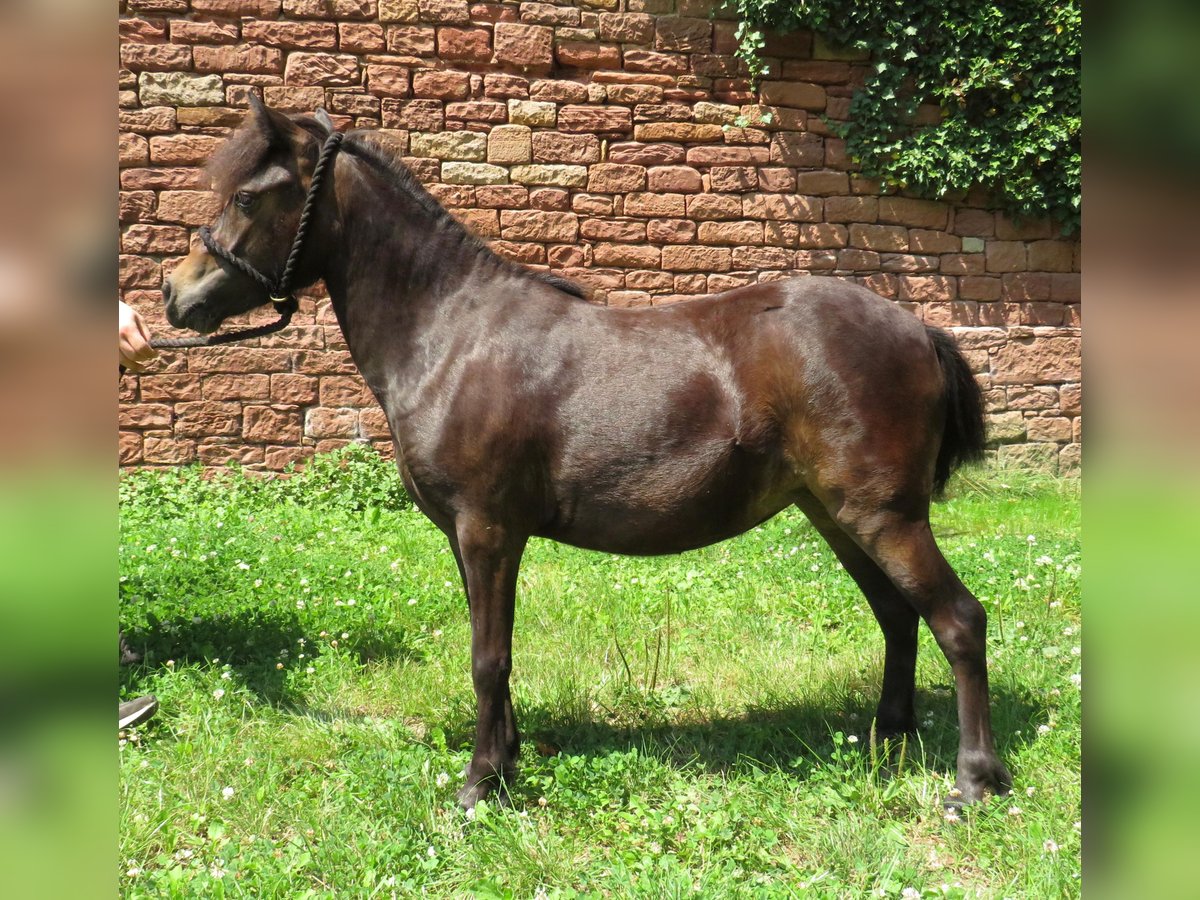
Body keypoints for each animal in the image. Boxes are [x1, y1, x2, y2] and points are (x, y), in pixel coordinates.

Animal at [166, 100, 1012, 816]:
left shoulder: (487, 530)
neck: (450, 334)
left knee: (958, 620)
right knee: (899, 617)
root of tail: (919, 329)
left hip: (884, 517)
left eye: (248, 198)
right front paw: (506, 762)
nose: (177, 294)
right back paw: (888, 741)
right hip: (838, 516)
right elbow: (493, 651)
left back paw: (973, 783)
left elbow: (488, 658)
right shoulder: (470, 538)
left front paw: (479, 787)